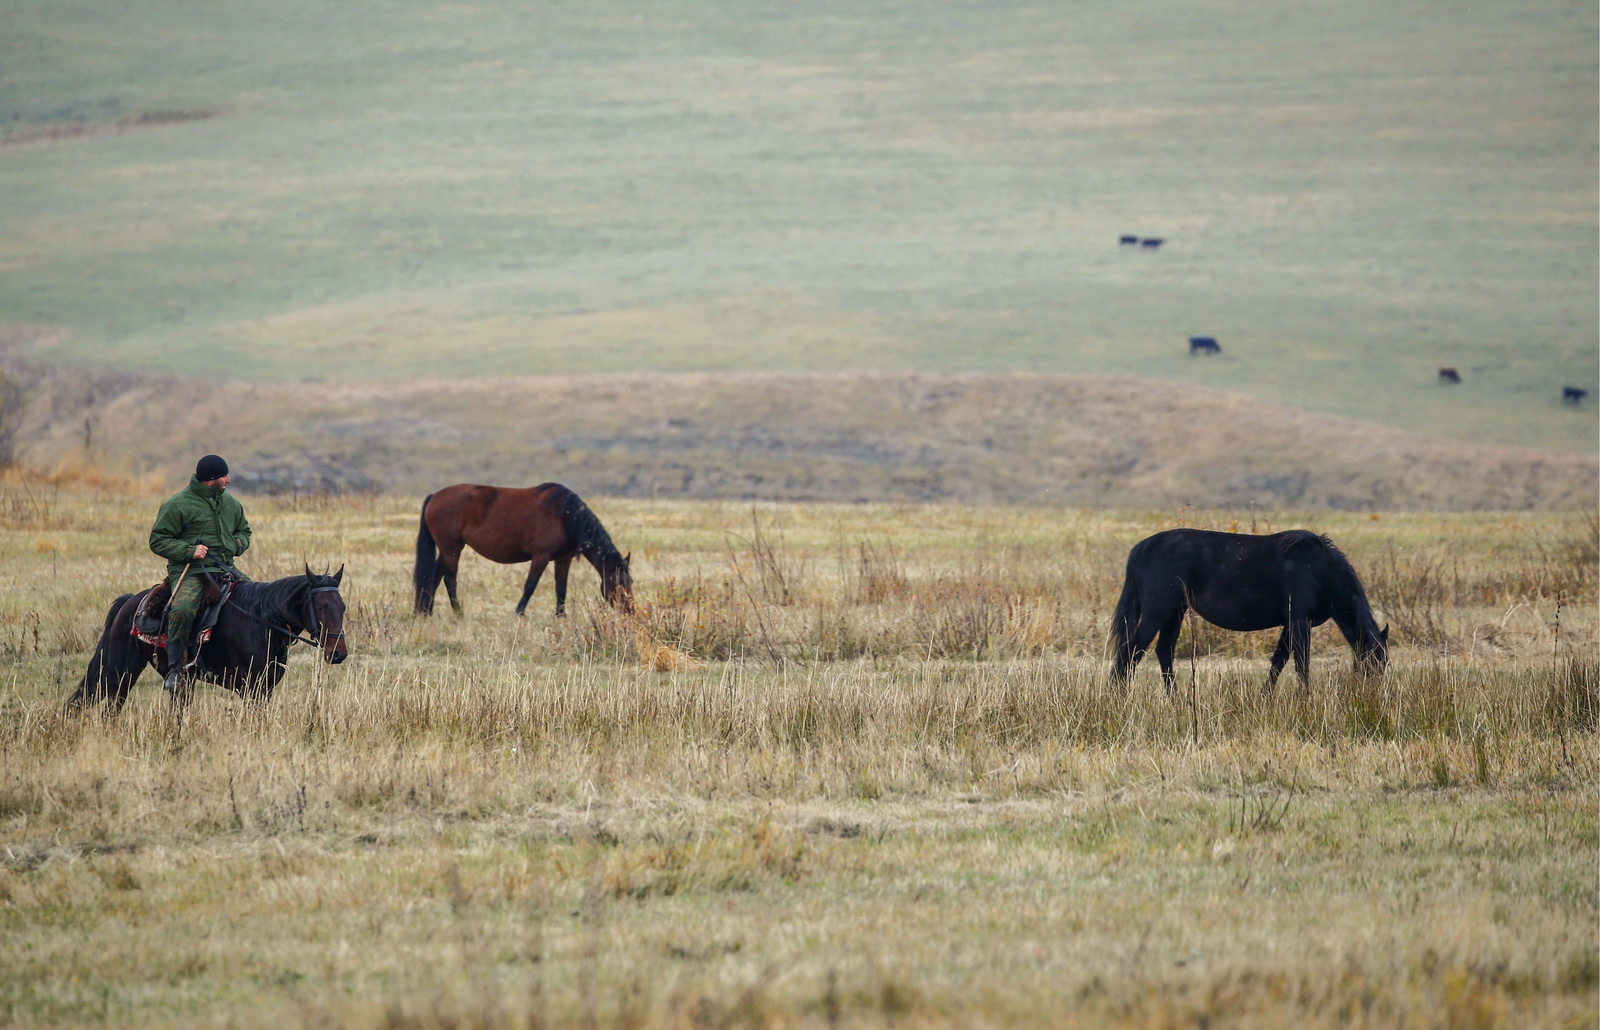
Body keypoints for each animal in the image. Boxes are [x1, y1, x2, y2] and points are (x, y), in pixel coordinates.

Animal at [67, 566, 348, 713]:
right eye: (321, 606)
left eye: (343, 607)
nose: (338, 653)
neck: (263, 620)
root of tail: (130, 602)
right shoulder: (250, 686)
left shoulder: (265, 686)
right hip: (117, 672)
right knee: (86, 702)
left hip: (172, 681)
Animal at [1113, 530, 1388, 690]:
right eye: (1373, 662)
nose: (1372, 696)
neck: (1321, 569)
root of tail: (1144, 546)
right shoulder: (1300, 621)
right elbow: (1302, 663)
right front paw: (1305, 699)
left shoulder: (1289, 624)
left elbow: (1279, 661)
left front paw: (1266, 696)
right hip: (1157, 612)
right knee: (1130, 652)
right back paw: (1119, 697)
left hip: (1175, 612)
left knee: (1163, 651)